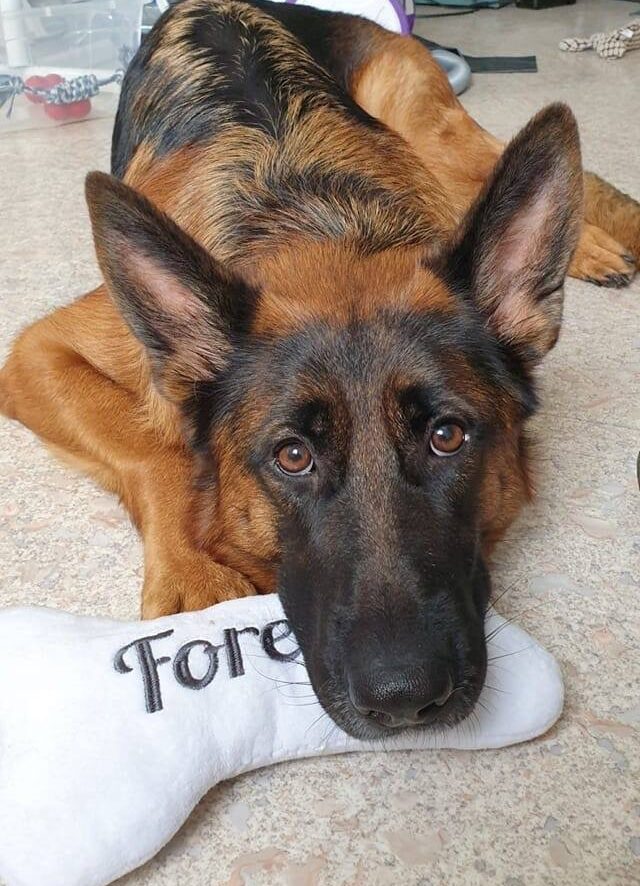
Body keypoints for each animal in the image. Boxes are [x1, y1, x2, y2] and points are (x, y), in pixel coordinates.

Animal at [1, 0, 640, 740]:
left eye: (447, 437)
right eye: (293, 456)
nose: (404, 698)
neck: (322, 226)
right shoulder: (35, 353)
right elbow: (157, 449)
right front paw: (194, 569)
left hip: (433, 134)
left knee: (533, 170)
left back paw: (594, 246)